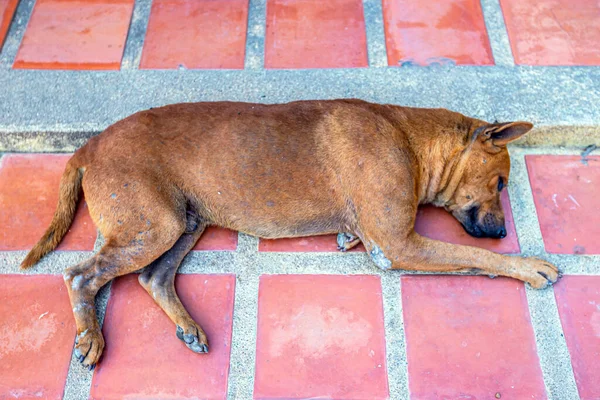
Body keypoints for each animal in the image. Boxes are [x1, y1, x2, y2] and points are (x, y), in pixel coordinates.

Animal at [22, 99, 556, 368]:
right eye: (501, 183)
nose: (502, 231)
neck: (410, 136)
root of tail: (89, 146)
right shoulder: (399, 246)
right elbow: (479, 259)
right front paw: (527, 265)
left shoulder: (390, 240)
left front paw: (348, 236)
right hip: (155, 227)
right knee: (81, 275)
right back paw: (90, 335)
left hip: (186, 221)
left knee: (153, 278)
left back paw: (188, 326)